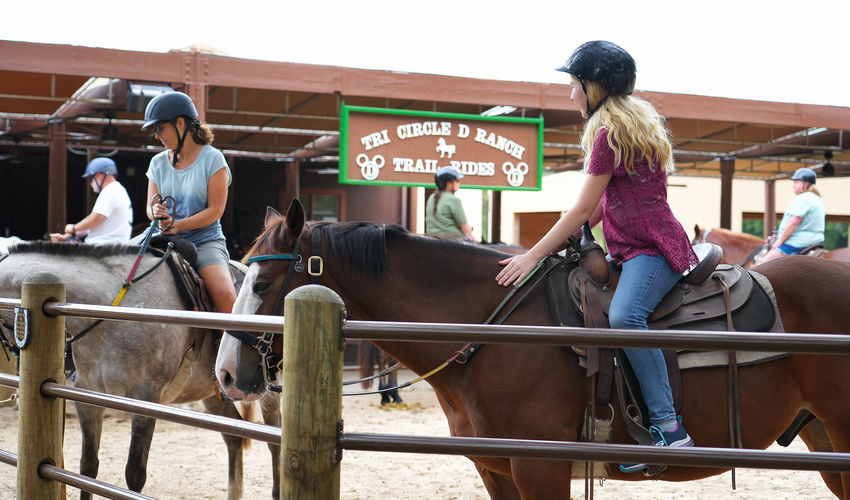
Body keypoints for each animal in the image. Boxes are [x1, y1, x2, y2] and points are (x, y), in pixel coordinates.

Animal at [0, 241, 278, 496]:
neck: (109, 314)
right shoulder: (87, 399)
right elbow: (88, 467)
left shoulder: (145, 400)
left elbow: (134, 474)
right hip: (210, 394)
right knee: (233, 438)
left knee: (274, 444)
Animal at [217, 201, 848, 498]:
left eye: (265, 284)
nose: (225, 374)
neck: (491, 329)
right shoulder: (498, 469)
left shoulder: (540, 468)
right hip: (821, 436)